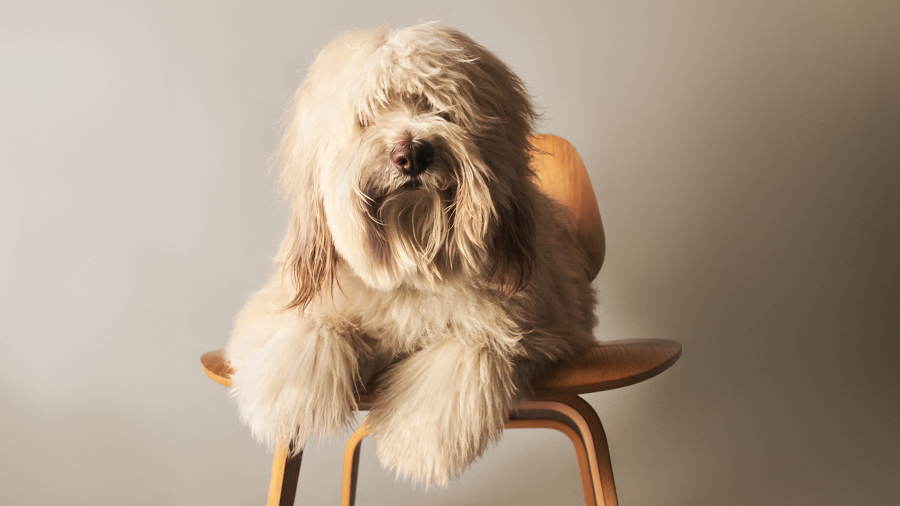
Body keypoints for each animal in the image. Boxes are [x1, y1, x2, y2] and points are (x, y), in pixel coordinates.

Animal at [223, 22, 596, 486]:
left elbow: (464, 357)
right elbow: (310, 332)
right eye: (367, 117)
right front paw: (288, 403)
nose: (412, 154)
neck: (411, 257)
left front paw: (415, 445)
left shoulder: (532, 329)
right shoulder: (286, 303)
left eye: (441, 108)